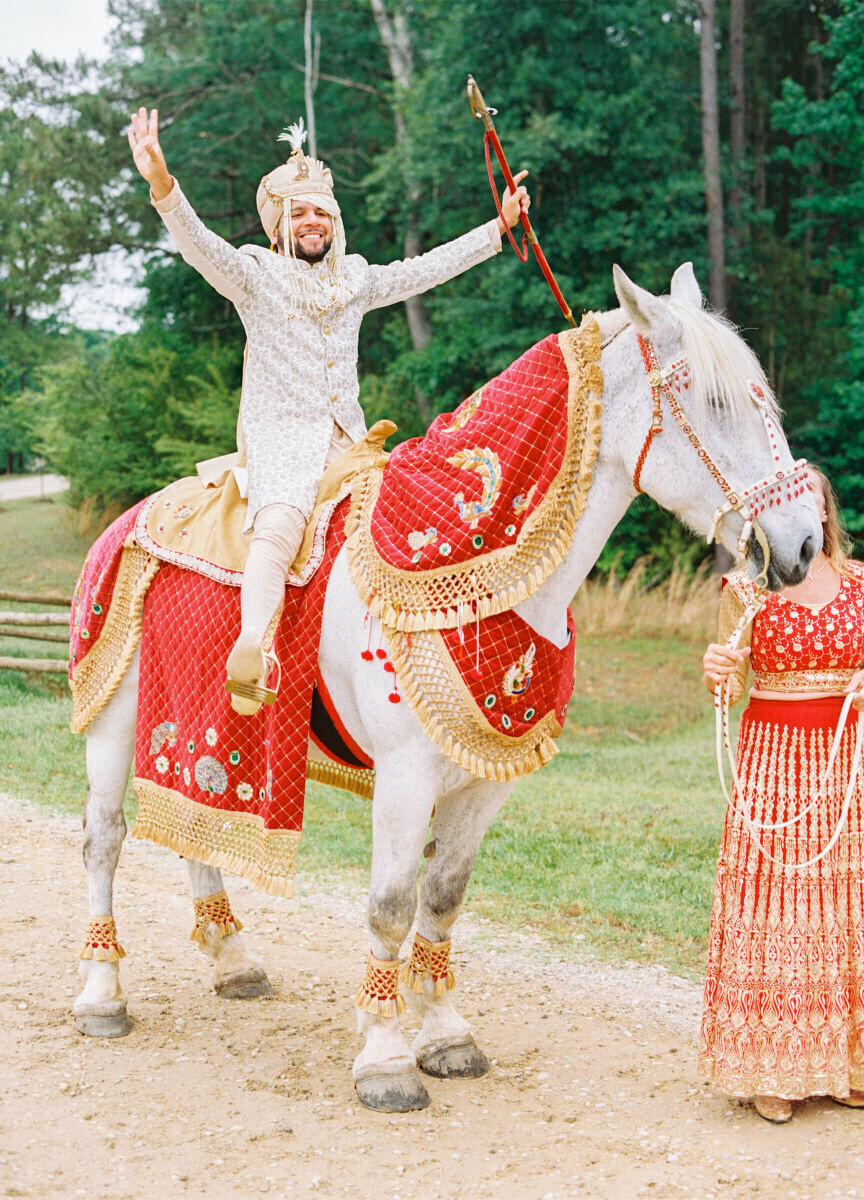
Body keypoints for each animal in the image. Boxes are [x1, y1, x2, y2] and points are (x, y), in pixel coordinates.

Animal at [72, 267, 816, 1108]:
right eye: (717, 404)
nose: (803, 543)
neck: (475, 572)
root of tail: (133, 515)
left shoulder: (485, 782)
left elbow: (444, 897)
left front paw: (443, 1033)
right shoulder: (406, 778)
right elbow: (391, 909)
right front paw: (385, 1057)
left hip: (210, 726)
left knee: (198, 826)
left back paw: (233, 962)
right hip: (115, 723)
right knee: (105, 838)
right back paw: (102, 995)